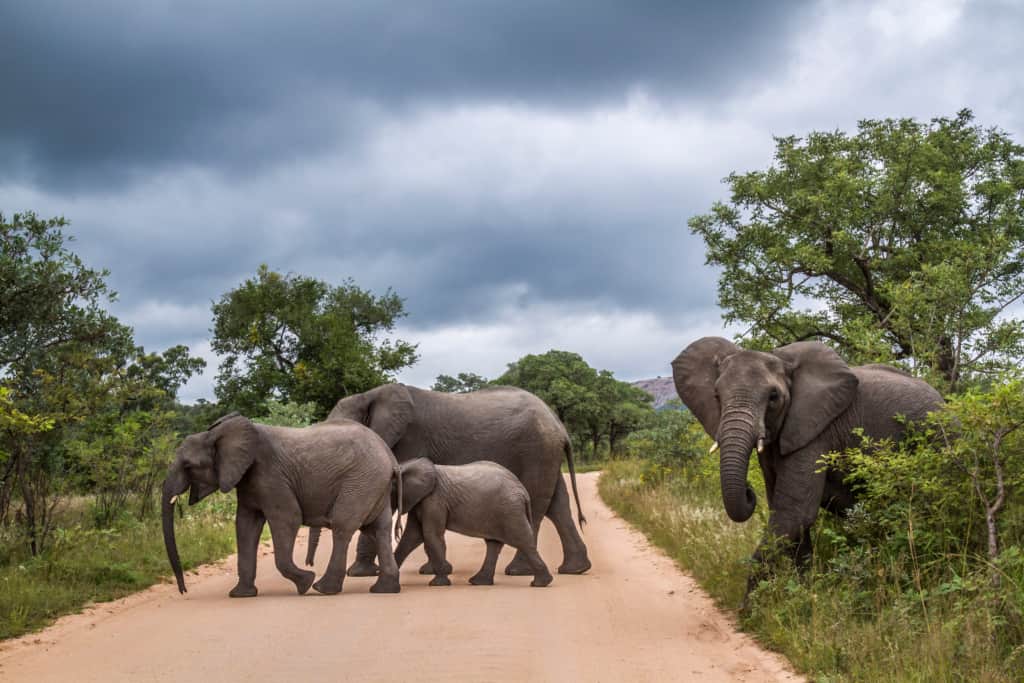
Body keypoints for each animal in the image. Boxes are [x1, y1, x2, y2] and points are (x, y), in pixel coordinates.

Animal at [161, 411, 401, 598]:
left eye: (188, 466)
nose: (183, 591)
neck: (216, 434)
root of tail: (390, 456)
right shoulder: (248, 480)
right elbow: (245, 526)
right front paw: (240, 595)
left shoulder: (270, 475)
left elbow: (288, 518)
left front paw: (305, 582)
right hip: (374, 485)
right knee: (379, 528)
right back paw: (384, 590)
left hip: (361, 481)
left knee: (343, 526)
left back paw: (322, 588)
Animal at [391, 458, 557, 589]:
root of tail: (523, 490)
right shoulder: (421, 500)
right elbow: (412, 536)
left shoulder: (434, 500)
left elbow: (431, 535)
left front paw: (438, 584)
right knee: (494, 544)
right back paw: (479, 582)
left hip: (510, 511)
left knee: (522, 541)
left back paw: (540, 583)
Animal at [671, 339, 942, 593]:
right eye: (717, 396)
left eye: (773, 398)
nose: (749, 491)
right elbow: (787, 516)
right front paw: (802, 592)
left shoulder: (815, 432)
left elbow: (794, 513)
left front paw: (752, 608)